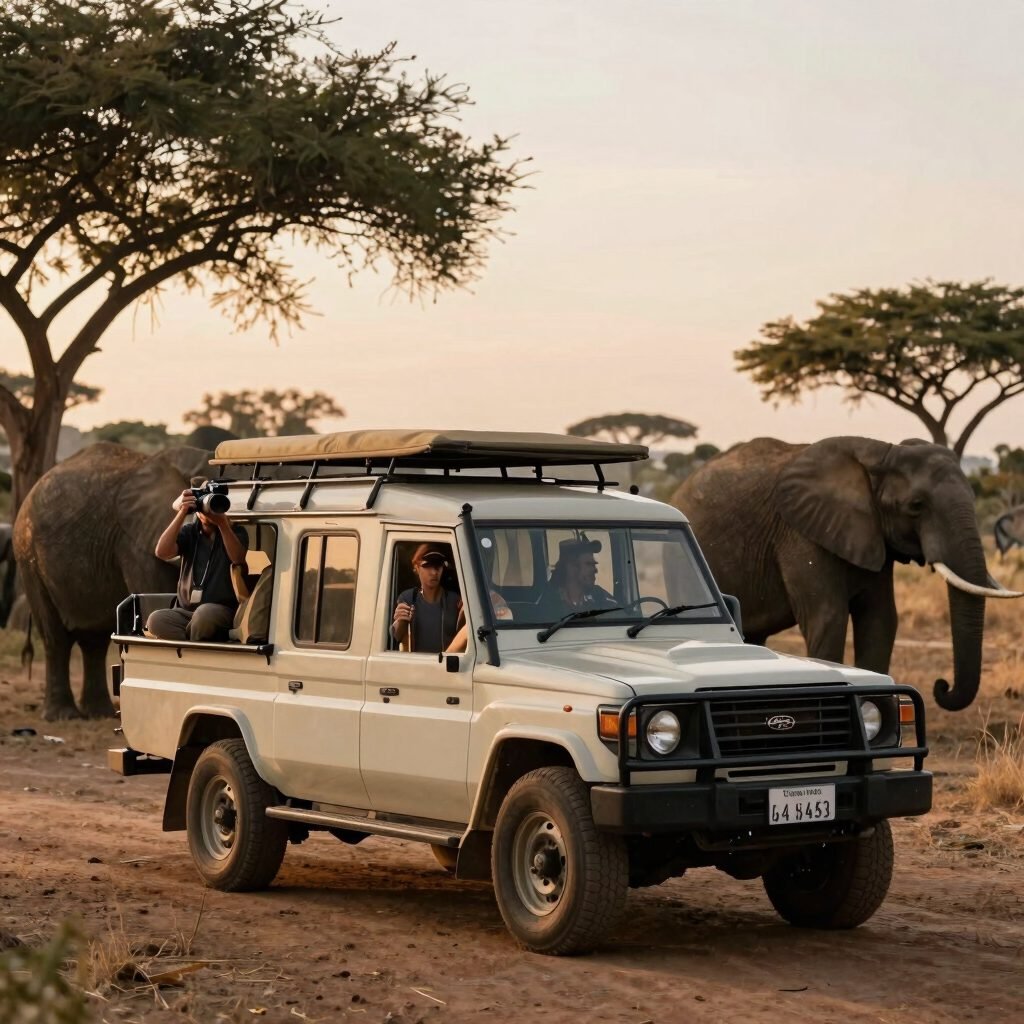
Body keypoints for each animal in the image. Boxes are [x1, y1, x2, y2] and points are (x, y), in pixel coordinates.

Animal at [13, 443, 214, 720]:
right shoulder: (134, 541)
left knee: (95, 642)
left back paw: (101, 714)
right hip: (28, 558)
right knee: (56, 637)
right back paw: (63, 716)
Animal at [671, 436, 1023, 712]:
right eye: (916, 505)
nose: (941, 685)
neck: (881, 453)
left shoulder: (874, 538)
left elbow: (881, 620)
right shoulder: (801, 533)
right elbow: (829, 617)